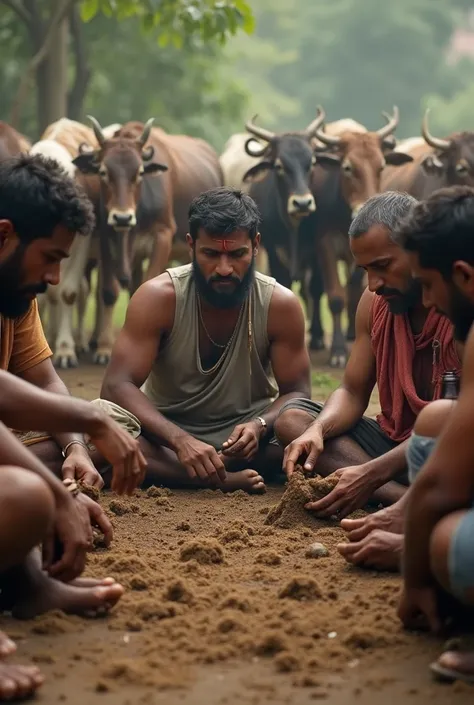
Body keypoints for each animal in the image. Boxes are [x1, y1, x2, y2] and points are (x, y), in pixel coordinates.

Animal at [72, 116, 224, 366]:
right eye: (103, 172)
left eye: (140, 172)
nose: (122, 217)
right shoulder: (106, 236)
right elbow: (109, 292)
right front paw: (104, 348)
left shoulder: (163, 236)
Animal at [304, 108, 414, 368]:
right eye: (347, 167)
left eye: (381, 166)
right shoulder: (325, 246)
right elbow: (335, 296)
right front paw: (337, 351)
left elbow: (354, 289)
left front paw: (352, 337)